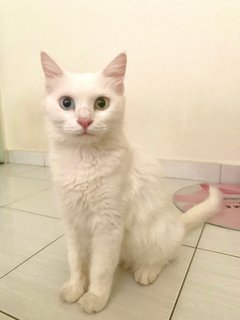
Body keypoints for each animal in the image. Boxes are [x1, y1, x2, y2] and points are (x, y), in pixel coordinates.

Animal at [40, 52, 221, 312]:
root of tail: (177, 222)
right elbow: (76, 261)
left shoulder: (108, 226)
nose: (84, 121)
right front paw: (75, 287)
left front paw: (95, 297)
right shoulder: (72, 222)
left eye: (101, 104)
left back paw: (145, 271)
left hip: (153, 236)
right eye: (66, 103)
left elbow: (100, 269)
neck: (82, 160)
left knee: (164, 257)